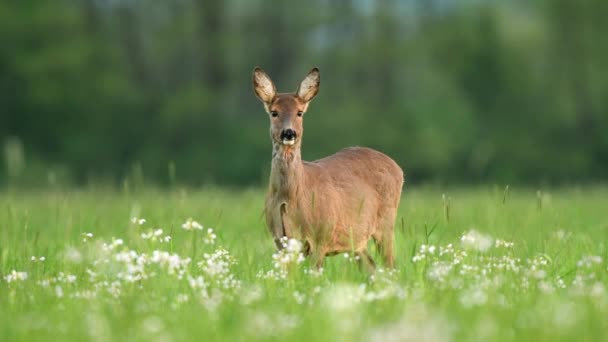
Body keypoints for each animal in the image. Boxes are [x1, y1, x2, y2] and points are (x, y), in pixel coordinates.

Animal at [252, 67, 404, 270]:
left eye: (300, 112)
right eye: (274, 112)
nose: (289, 133)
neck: (291, 196)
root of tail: (398, 168)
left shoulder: (321, 236)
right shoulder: (281, 241)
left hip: (386, 222)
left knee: (391, 266)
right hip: (357, 240)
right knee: (372, 267)